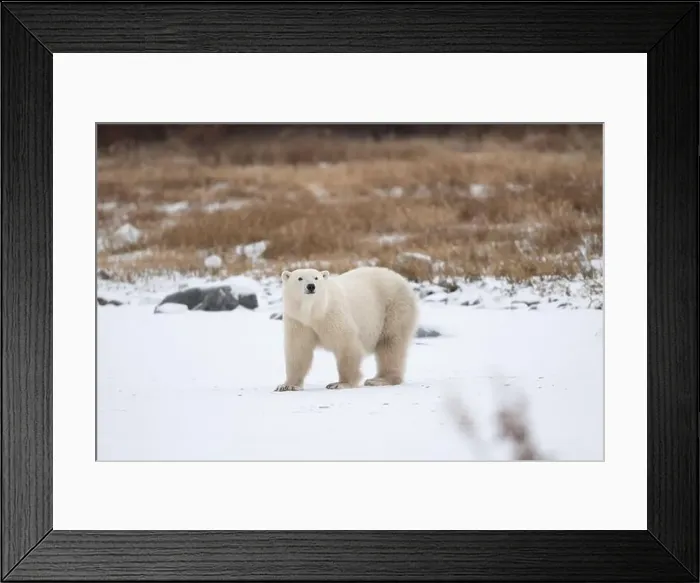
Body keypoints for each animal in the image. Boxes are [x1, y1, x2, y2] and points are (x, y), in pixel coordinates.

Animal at [274, 266, 419, 392]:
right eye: (300, 278)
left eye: (316, 278)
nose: (311, 286)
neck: (314, 312)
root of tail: (401, 278)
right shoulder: (298, 321)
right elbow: (299, 350)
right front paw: (287, 385)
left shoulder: (332, 314)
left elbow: (346, 344)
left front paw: (340, 383)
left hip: (394, 307)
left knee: (390, 343)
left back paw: (380, 380)